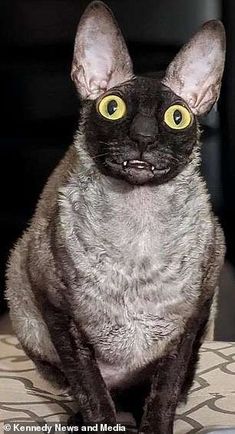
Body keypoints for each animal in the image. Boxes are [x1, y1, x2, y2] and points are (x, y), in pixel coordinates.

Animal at [5, 1, 226, 432]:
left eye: (177, 117)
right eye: (113, 108)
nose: (143, 137)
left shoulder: (194, 311)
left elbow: (166, 389)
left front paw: (154, 425)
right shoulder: (52, 302)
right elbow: (90, 388)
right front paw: (98, 420)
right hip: (21, 301)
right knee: (91, 387)